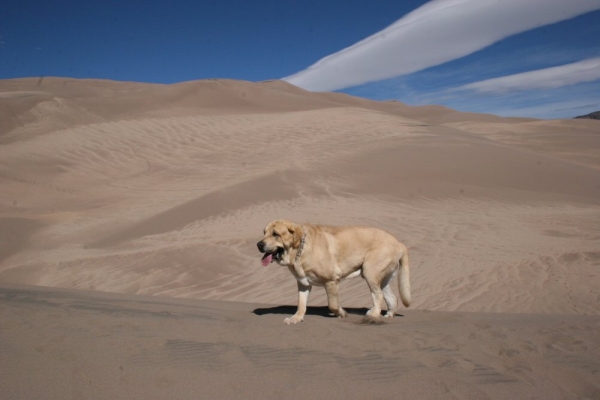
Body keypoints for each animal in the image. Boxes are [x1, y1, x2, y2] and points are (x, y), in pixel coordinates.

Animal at [255, 219, 410, 324]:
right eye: (264, 232)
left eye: (275, 234)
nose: (259, 244)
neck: (300, 249)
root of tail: (399, 243)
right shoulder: (304, 284)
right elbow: (301, 304)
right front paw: (296, 318)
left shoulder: (332, 281)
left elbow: (333, 305)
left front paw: (342, 313)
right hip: (382, 279)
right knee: (392, 298)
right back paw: (388, 314)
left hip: (369, 272)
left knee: (378, 296)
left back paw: (373, 316)